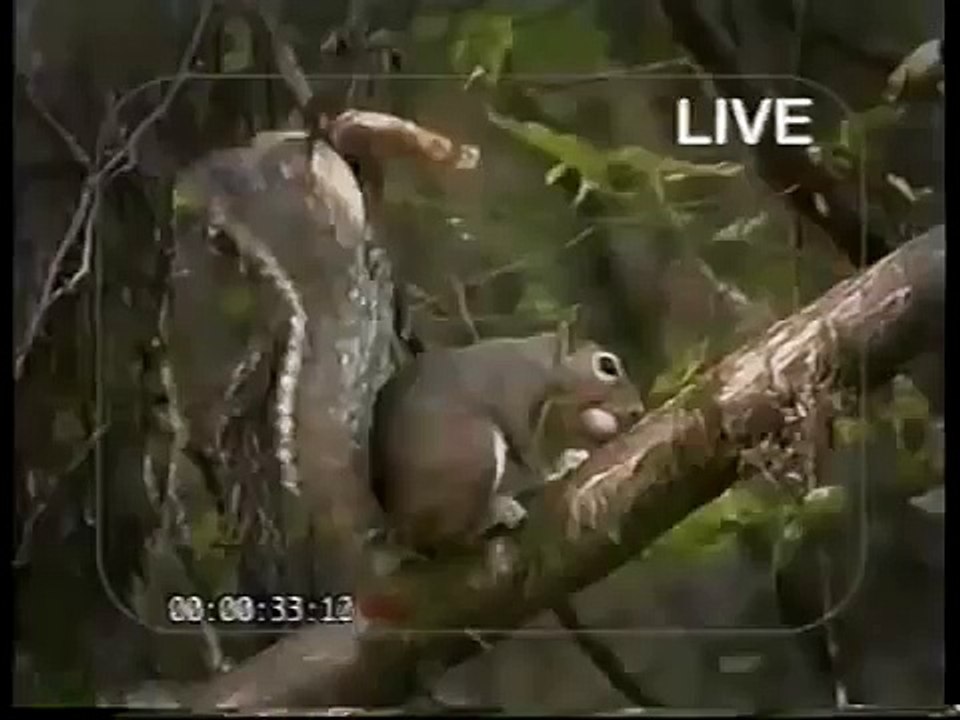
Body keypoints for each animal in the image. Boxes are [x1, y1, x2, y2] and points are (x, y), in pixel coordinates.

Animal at [368, 329, 645, 556]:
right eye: (607, 366)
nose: (638, 410)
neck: (540, 363)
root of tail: (400, 523)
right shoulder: (515, 399)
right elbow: (529, 451)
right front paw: (559, 469)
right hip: (474, 449)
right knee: (454, 534)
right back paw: (498, 512)